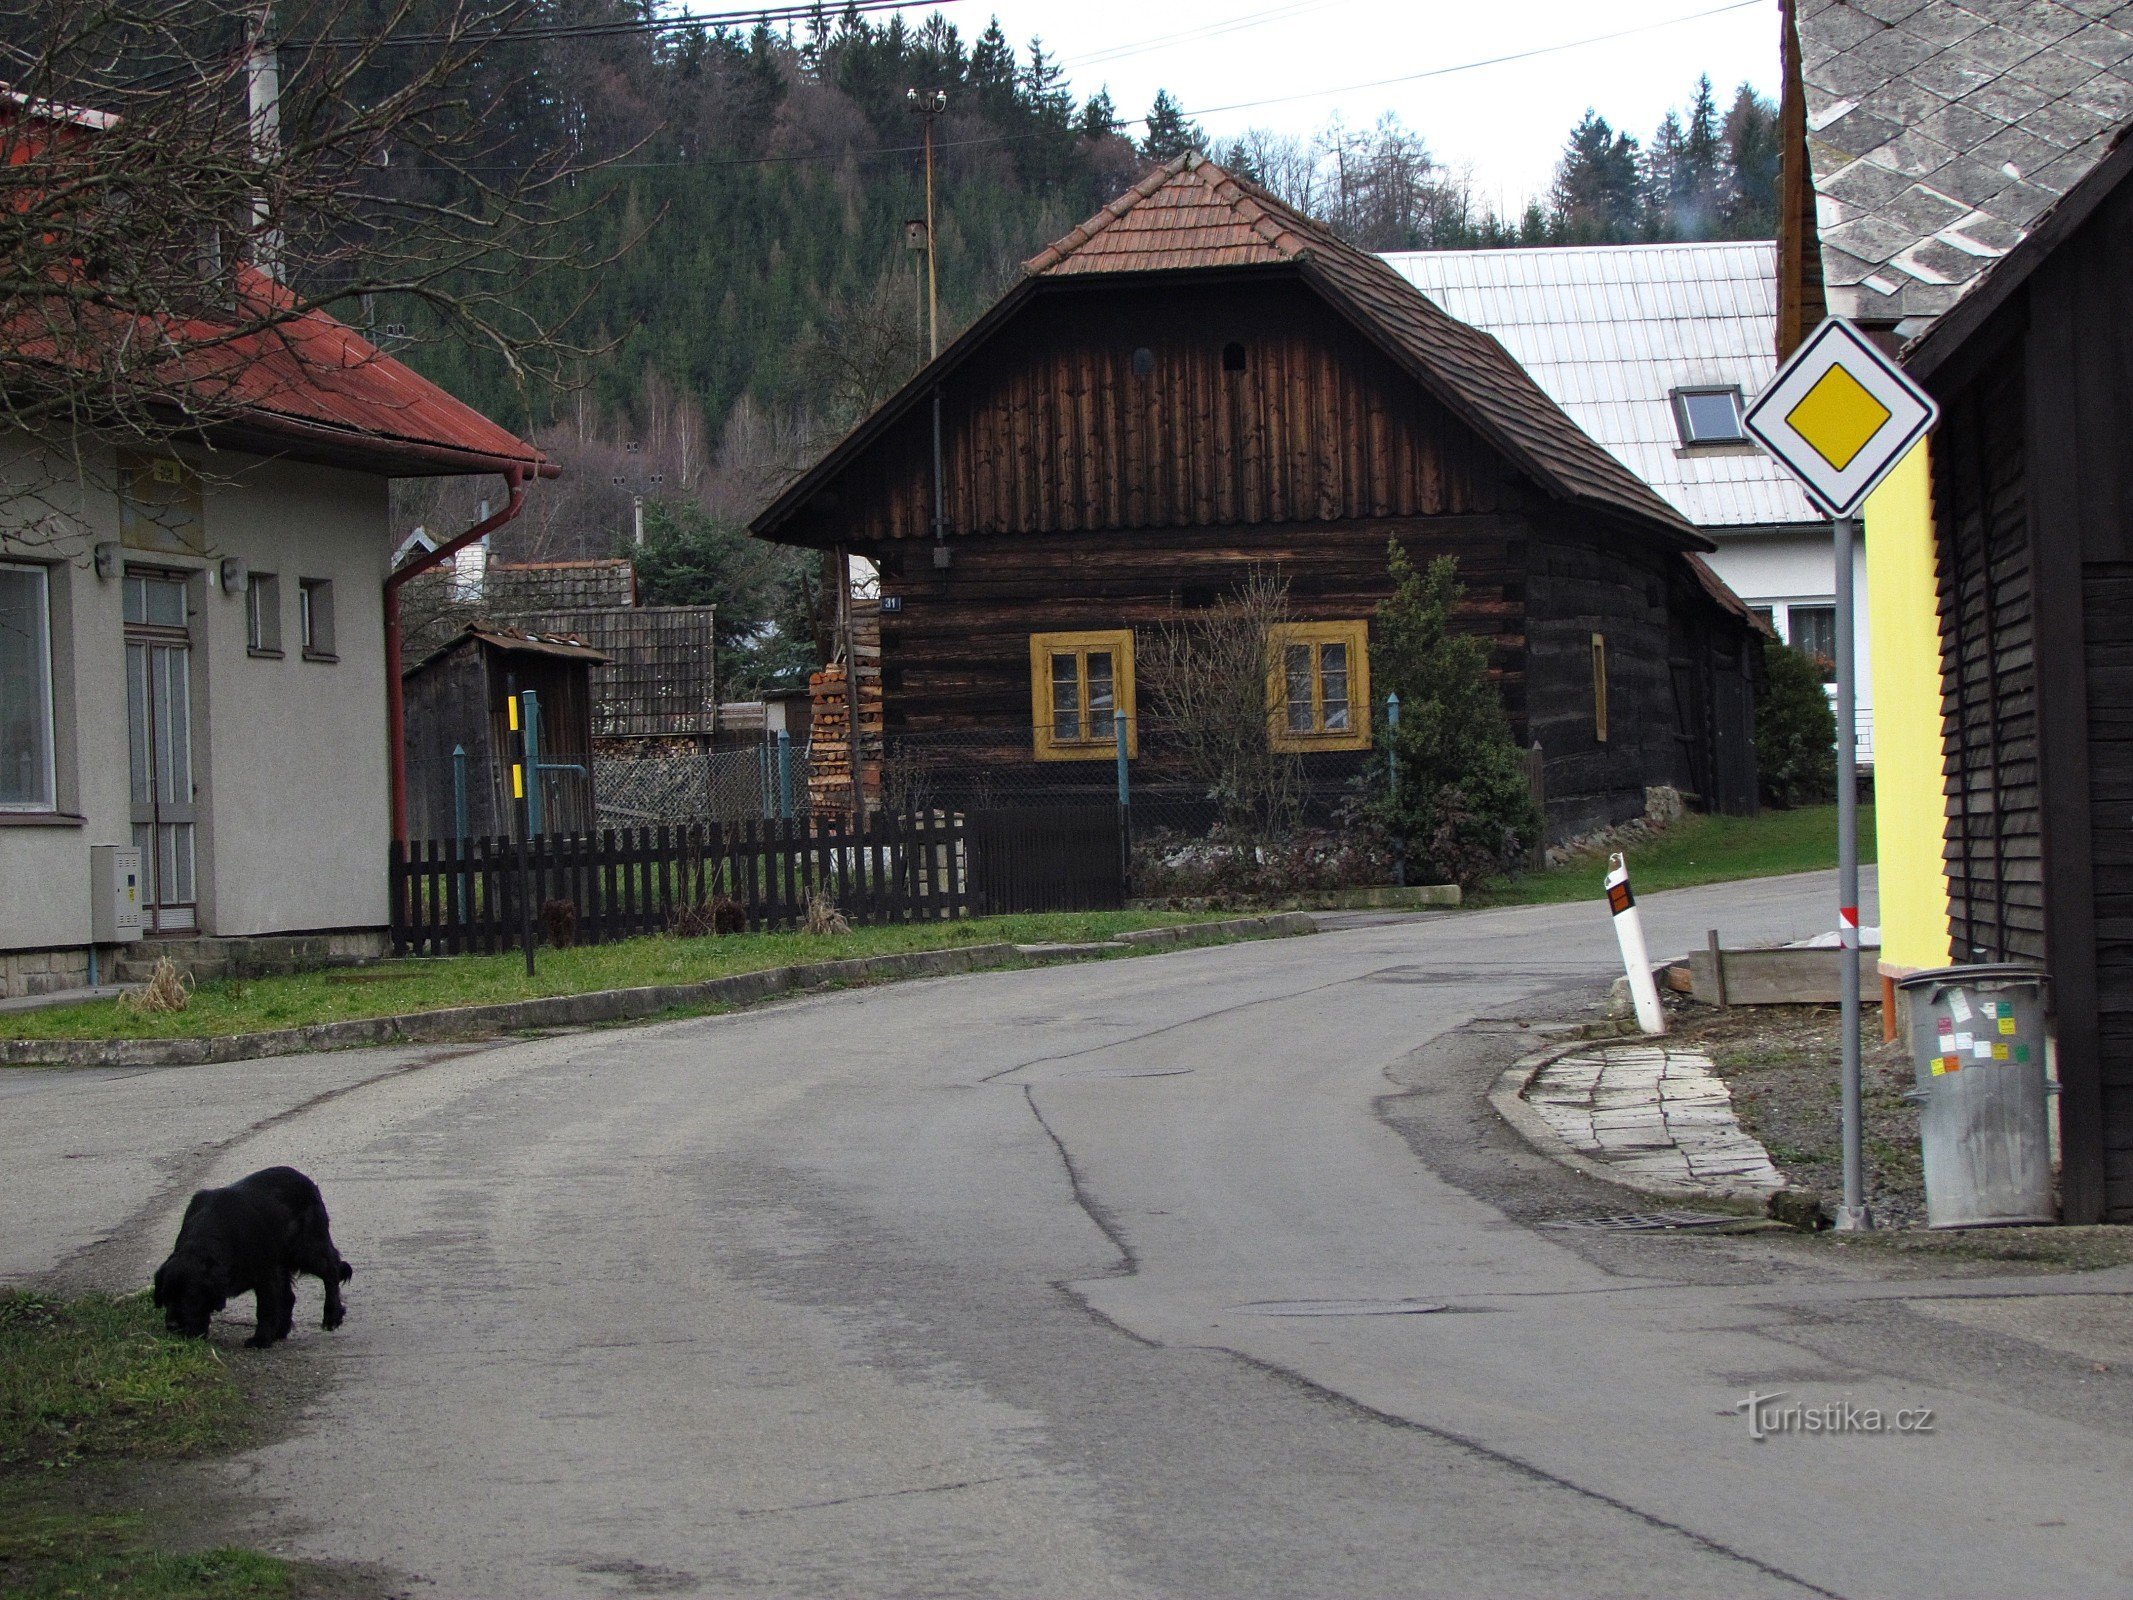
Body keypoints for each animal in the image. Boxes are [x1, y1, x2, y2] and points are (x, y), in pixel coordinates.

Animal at [150, 1169, 351, 1348]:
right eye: (166, 1296)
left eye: (191, 1296)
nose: (172, 1326)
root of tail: (305, 1180)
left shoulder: (266, 1274)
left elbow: (265, 1309)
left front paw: (260, 1339)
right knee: (290, 1296)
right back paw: (281, 1331)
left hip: (305, 1250)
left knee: (331, 1270)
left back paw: (332, 1315)